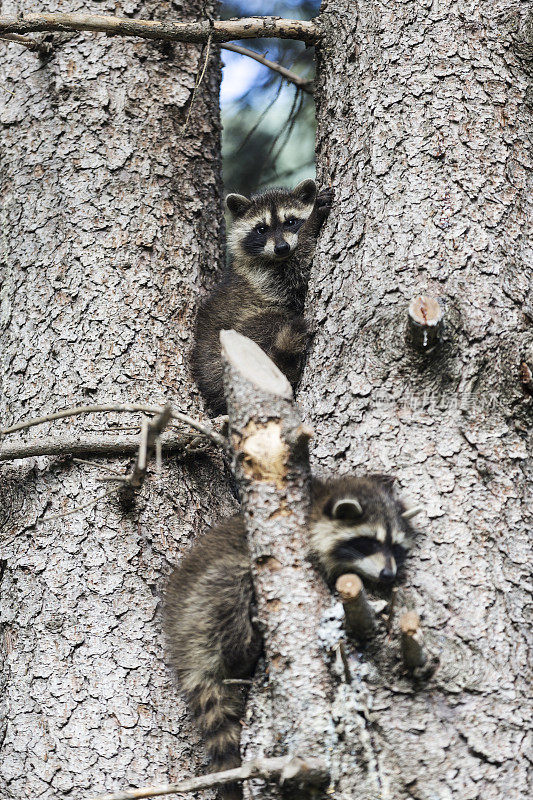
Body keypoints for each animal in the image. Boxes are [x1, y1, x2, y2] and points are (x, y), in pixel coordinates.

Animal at [164, 476, 422, 792]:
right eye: (367, 542)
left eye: (395, 547)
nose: (388, 575)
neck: (319, 501)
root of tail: (181, 637)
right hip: (207, 598)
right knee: (232, 597)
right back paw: (246, 645)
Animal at [191, 180, 332, 412]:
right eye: (262, 229)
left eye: (290, 222)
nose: (282, 248)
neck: (277, 258)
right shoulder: (262, 276)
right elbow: (297, 270)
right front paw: (311, 225)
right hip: (240, 335)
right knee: (272, 320)